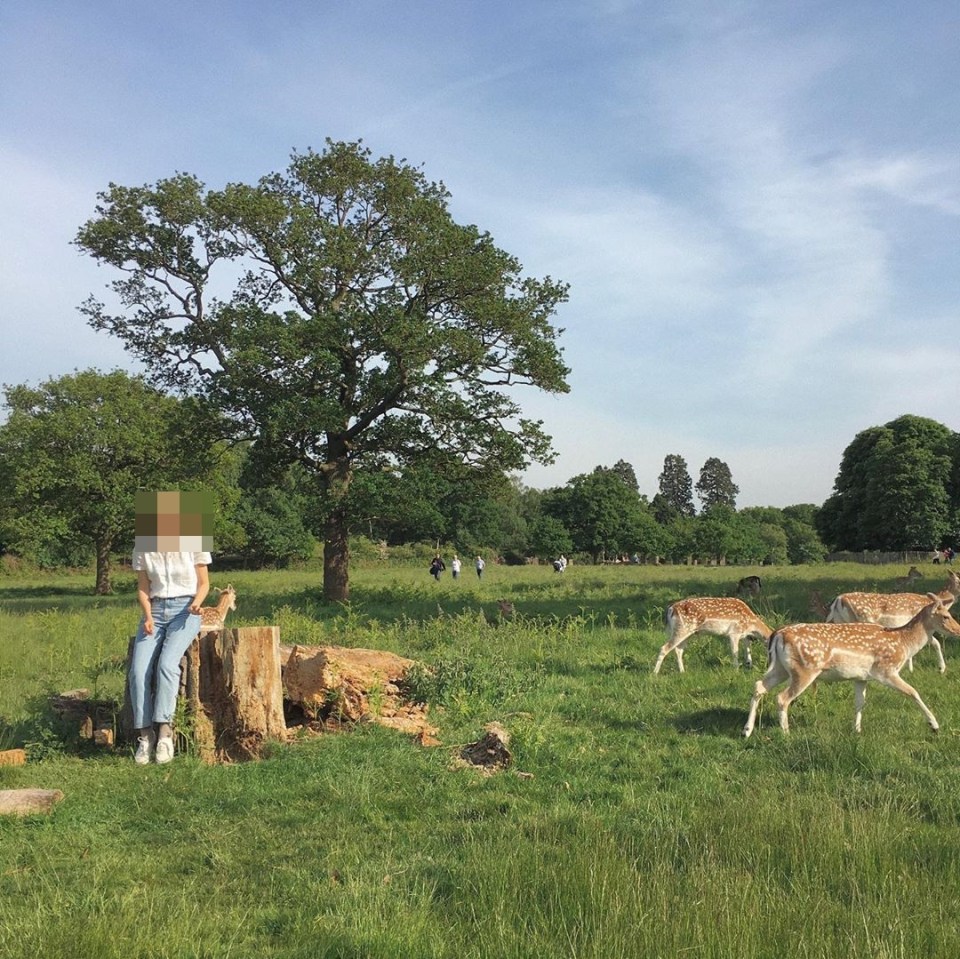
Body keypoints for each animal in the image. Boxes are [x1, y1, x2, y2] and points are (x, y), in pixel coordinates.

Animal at [744, 596, 960, 740]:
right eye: (946, 616)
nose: (958, 630)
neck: (903, 643)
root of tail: (777, 635)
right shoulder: (886, 670)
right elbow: (913, 692)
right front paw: (934, 725)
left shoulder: (861, 677)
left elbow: (859, 703)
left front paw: (857, 730)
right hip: (804, 670)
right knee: (782, 698)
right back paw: (786, 733)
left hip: (780, 668)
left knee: (758, 686)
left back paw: (747, 730)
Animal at [824, 568, 960, 676]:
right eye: (959, 581)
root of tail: (838, 599)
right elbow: (936, 643)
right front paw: (941, 669)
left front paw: (910, 669)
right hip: (859, 622)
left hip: (839, 621)